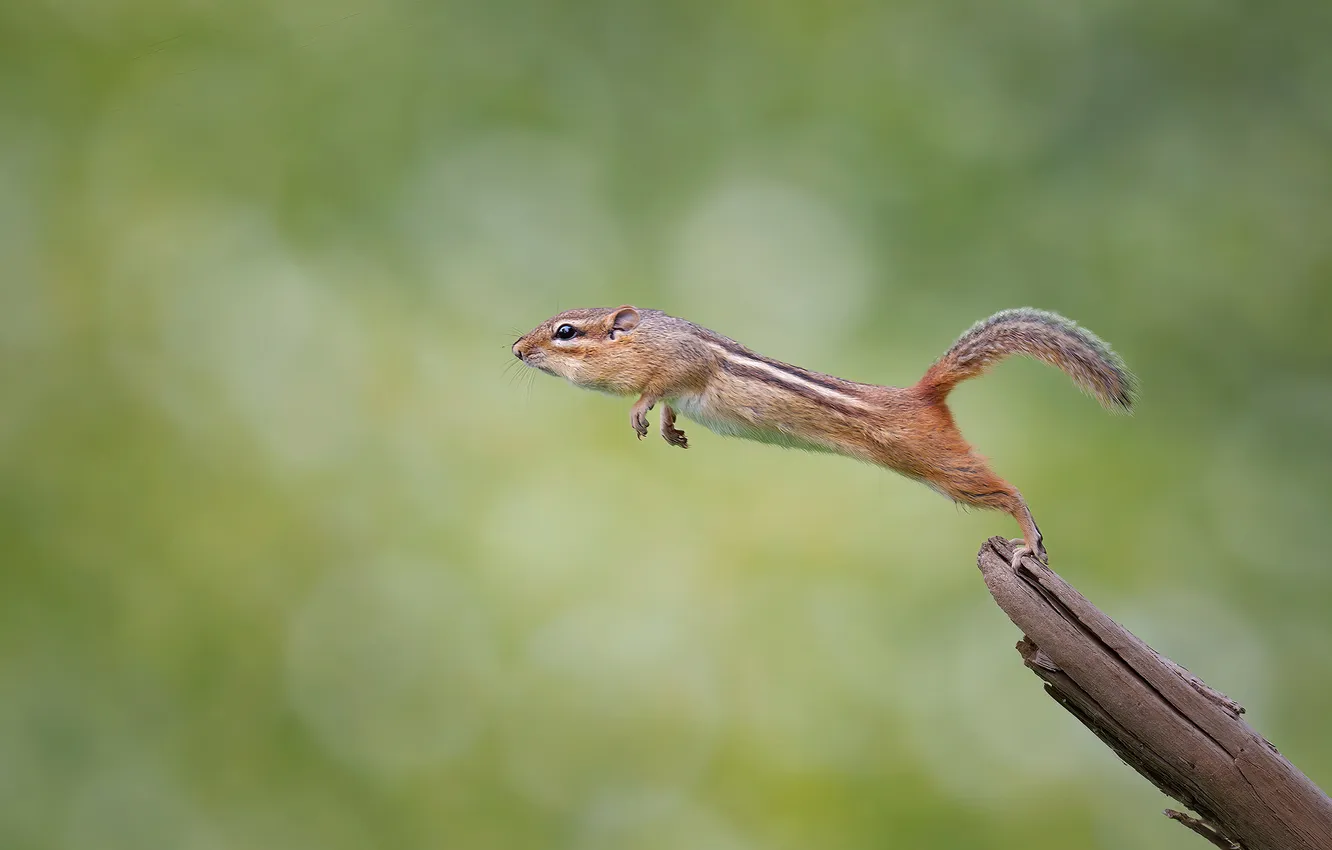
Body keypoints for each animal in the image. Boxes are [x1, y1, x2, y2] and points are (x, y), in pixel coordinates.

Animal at [512, 306, 1135, 568]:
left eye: (565, 331)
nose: (516, 348)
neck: (648, 337)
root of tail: (923, 392)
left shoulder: (681, 365)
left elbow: (657, 389)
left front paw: (641, 414)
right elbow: (668, 403)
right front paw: (669, 430)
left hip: (939, 465)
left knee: (1007, 492)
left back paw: (1030, 540)